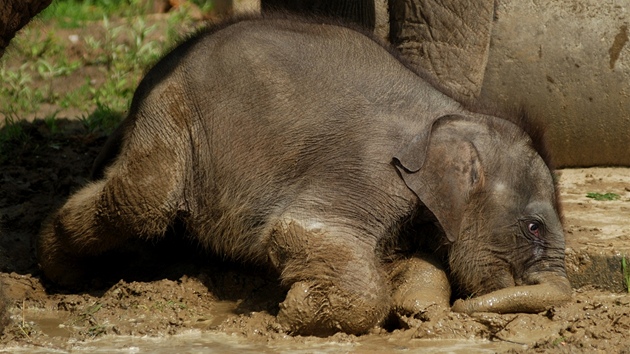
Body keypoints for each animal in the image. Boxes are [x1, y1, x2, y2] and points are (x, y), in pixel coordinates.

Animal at [37, 14, 576, 334]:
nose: (469, 314)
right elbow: (300, 231)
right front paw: (291, 311)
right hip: (175, 112)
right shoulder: (363, 171)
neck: (454, 113)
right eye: (534, 227)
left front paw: (419, 307)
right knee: (145, 199)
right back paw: (59, 271)